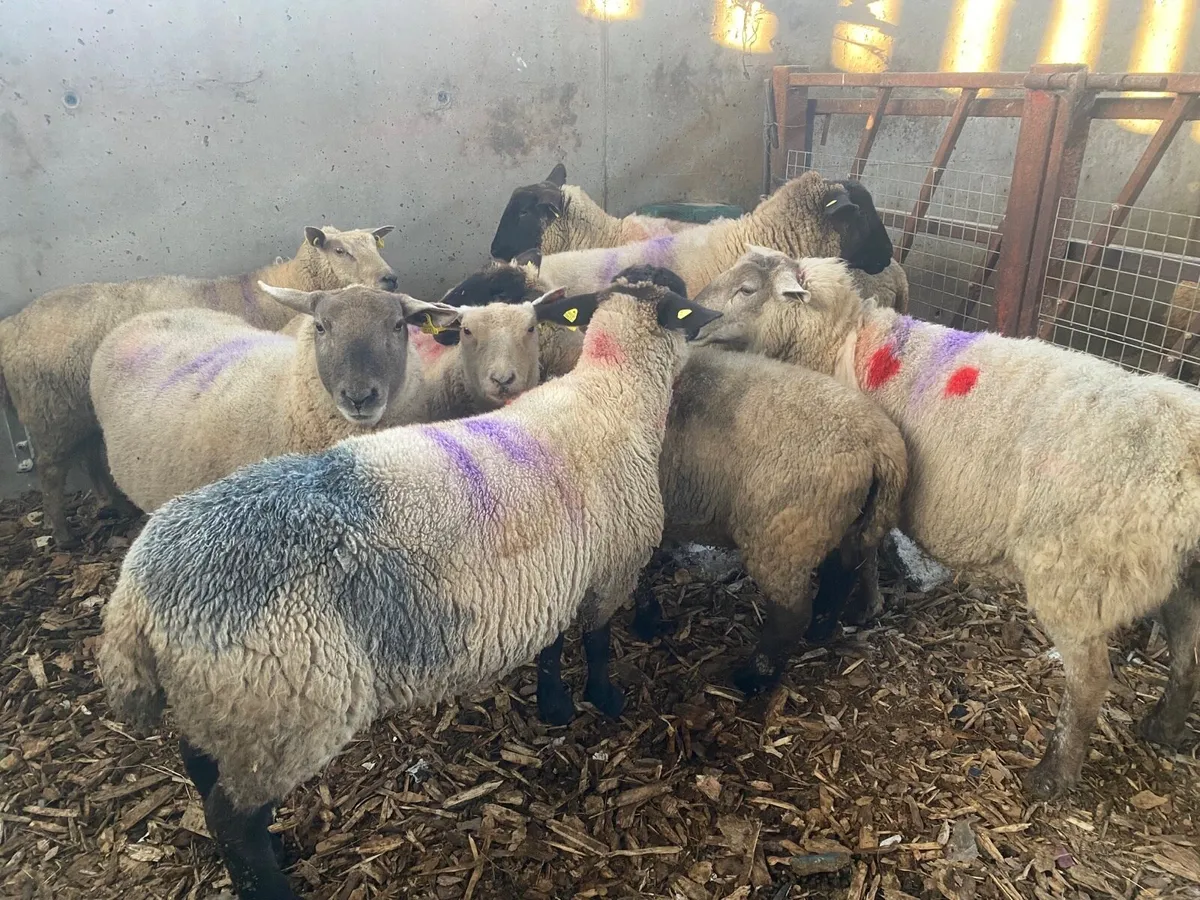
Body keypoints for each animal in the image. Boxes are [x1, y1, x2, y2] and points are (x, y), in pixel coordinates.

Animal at [0, 224, 397, 548]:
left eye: (374, 244)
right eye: (339, 250)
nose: (389, 279)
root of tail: (12, 327)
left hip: (77, 411)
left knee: (92, 456)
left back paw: (115, 505)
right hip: (50, 413)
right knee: (52, 472)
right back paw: (64, 536)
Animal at [692, 247, 1200, 800]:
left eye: (746, 290)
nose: (691, 321)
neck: (842, 341)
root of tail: (1186, 454)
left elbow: (865, 550)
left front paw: (863, 605)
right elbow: (868, 547)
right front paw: (870, 605)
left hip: (1077, 571)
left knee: (1090, 681)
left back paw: (1053, 775)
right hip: (1176, 574)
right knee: (1186, 650)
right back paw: (1164, 727)